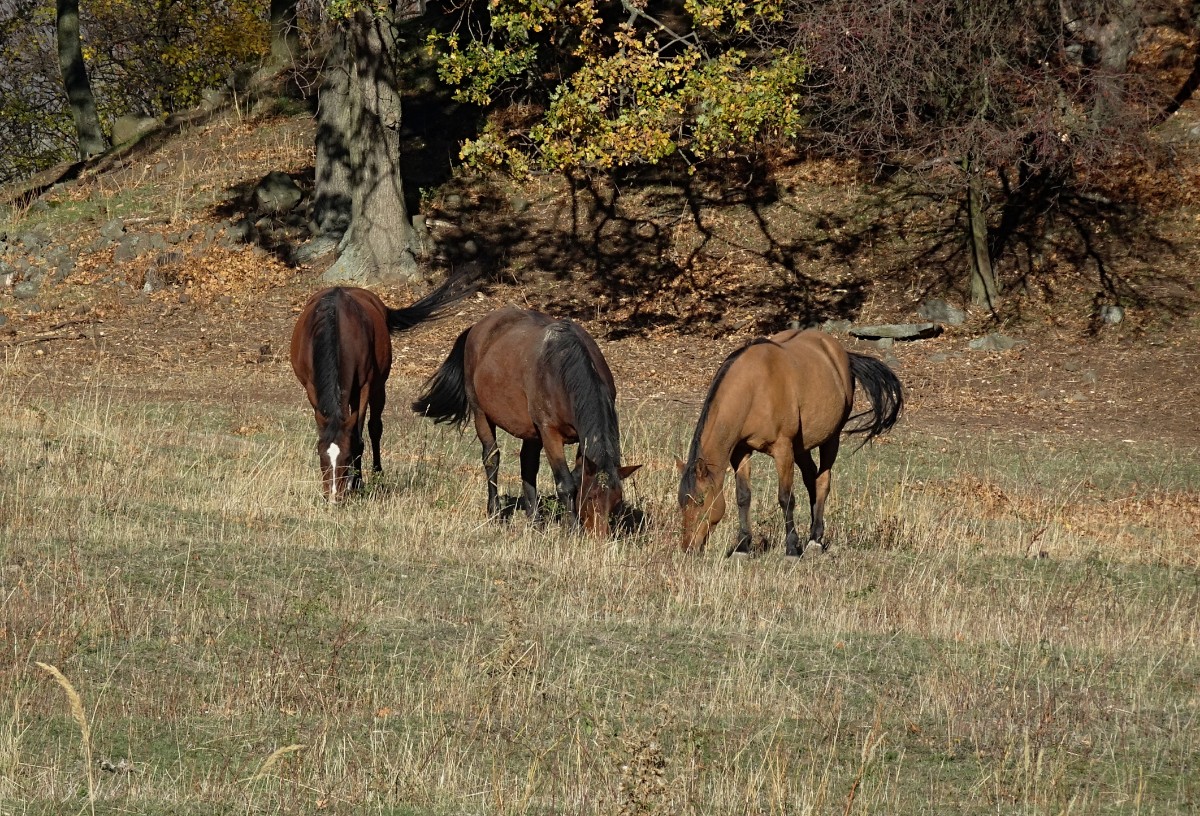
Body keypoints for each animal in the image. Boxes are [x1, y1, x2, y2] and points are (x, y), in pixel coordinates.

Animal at [290, 276, 469, 502]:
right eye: (321, 456)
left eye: (346, 457)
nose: (334, 496)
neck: (334, 325)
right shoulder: (312, 389)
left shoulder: (365, 387)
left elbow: (359, 437)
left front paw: (357, 483)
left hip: (377, 388)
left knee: (375, 428)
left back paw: (376, 475)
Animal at [412, 306, 641, 536]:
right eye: (591, 496)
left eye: (616, 501)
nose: (599, 536)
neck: (562, 369)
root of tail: (478, 326)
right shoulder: (549, 433)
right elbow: (565, 483)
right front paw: (572, 529)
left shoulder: (578, 437)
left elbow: (574, 476)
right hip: (481, 413)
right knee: (491, 458)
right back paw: (495, 512)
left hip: (532, 432)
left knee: (528, 466)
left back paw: (535, 519)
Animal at [678, 328, 903, 556]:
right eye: (681, 503)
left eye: (700, 500)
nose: (688, 547)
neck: (754, 390)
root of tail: (840, 353)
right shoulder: (741, 451)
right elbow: (743, 496)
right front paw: (742, 546)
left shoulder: (783, 449)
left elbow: (786, 498)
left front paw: (792, 548)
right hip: (802, 447)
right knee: (811, 478)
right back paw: (814, 532)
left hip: (831, 438)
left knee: (822, 481)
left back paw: (815, 540)